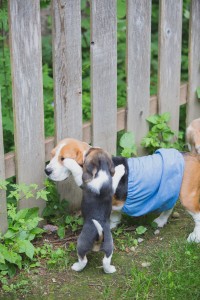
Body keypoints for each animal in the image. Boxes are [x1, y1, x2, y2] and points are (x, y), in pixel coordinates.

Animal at [45, 138, 200, 244]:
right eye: (51, 155)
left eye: (62, 158)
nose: (47, 171)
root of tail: (192, 157)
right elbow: (114, 215)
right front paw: (112, 226)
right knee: (169, 206)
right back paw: (161, 220)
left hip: (187, 197)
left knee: (197, 216)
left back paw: (194, 237)